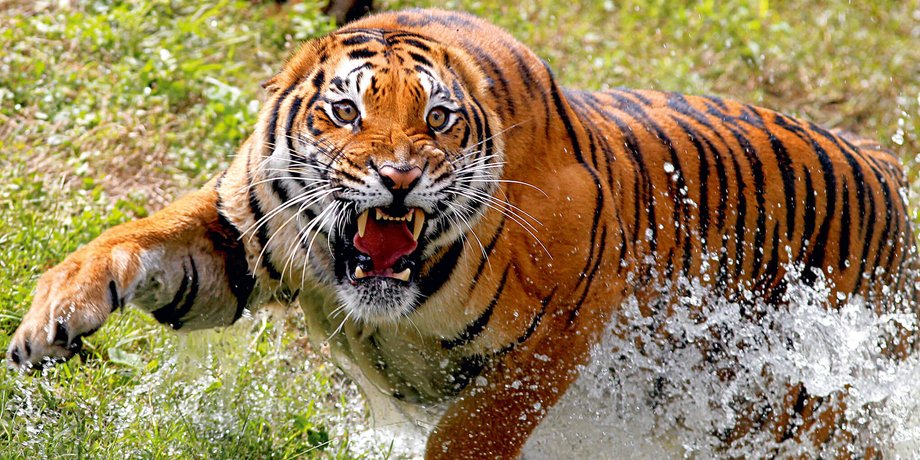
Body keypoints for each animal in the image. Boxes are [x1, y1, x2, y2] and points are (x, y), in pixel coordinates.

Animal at [7, 8, 917, 459]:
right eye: (347, 113)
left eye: (438, 121)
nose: (400, 176)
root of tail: (882, 161)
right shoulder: (235, 242)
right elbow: (131, 239)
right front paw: (48, 322)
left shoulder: (569, 320)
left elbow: (474, 430)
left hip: (808, 410)